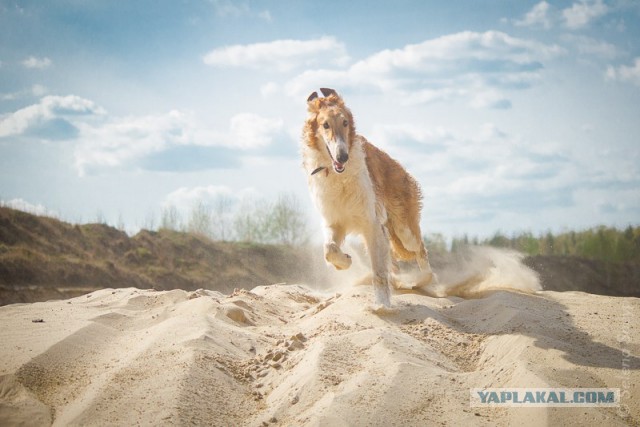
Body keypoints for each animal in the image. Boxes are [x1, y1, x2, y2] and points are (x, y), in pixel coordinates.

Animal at [302, 87, 436, 310]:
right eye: (325, 124)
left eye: (345, 122)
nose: (343, 156)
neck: (338, 176)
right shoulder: (335, 222)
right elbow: (329, 249)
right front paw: (345, 261)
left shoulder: (371, 223)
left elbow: (379, 274)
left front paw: (382, 306)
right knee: (395, 262)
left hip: (403, 229)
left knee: (421, 251)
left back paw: (425, 281)